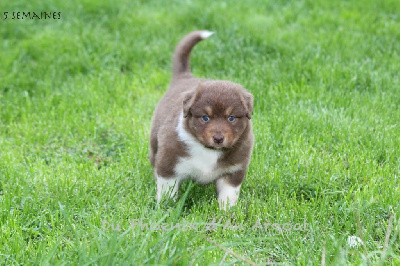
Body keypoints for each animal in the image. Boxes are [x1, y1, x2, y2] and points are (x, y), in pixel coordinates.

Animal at [150, 30, 253, 210]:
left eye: (231, 118)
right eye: (205, 117)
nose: (218, 138)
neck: (209, 151)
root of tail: (185, 76)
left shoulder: (234, 170)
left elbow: (228, 196)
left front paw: (227, 212)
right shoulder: (168, 164)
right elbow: (167, 191)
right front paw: (166, 209)